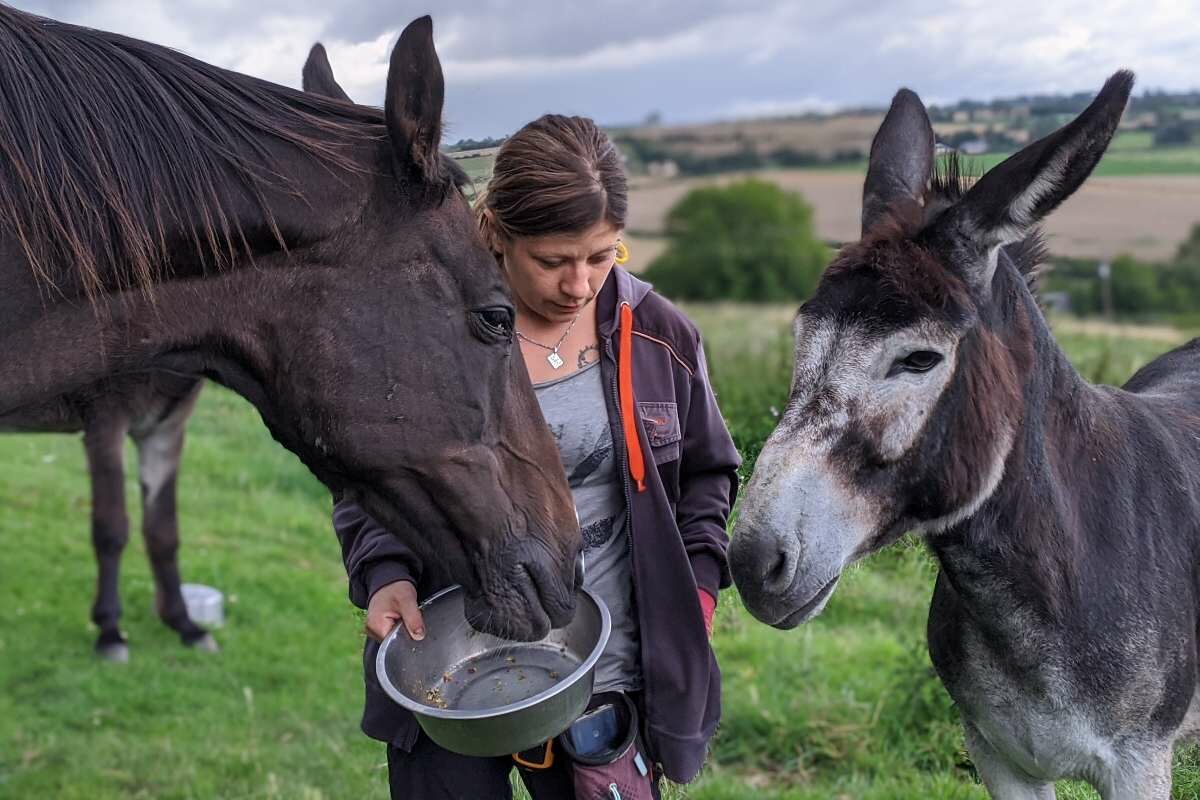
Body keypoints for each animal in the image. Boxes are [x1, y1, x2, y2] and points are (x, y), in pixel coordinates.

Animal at [0, 6, 580, 642]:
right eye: (498, 317)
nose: (572, 563)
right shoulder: (103, 425)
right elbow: (112, 526)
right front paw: (111, 632)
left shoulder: (164, 426)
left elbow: (161, 528)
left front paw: (183, 624)